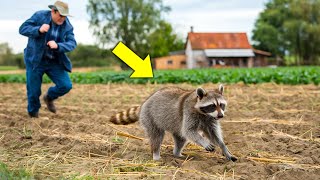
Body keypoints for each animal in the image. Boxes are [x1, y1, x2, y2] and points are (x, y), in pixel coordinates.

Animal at [110, 84, 238, 162]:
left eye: (221, 105)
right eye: (212, 106)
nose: (221, 116)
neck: (205, 114)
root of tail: (144, 103)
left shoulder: (210, 120)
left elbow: (214, 134)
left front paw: (224, 148)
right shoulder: (188, 112)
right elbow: (189, 131)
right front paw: (204, 141)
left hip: (175, 124)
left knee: (180, 138)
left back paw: (177, 153)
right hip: (149, 117)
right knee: (157, 136)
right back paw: (156, 154)